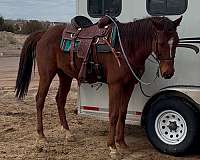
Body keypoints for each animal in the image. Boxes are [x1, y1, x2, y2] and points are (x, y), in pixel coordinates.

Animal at [15, 15, 181, 158]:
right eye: (161, 43)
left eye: (176, 42)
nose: (168, 73)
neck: (126, 46)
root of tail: (43, 34)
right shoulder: (115, 85)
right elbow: (113, 115)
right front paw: (112, 147)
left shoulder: (129, 86)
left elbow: (122, 113)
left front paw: (122, 143)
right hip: (47, 75)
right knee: (40, 100)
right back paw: (41, 136)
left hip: (65, 75)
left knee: (60, 100)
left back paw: (68, 133)